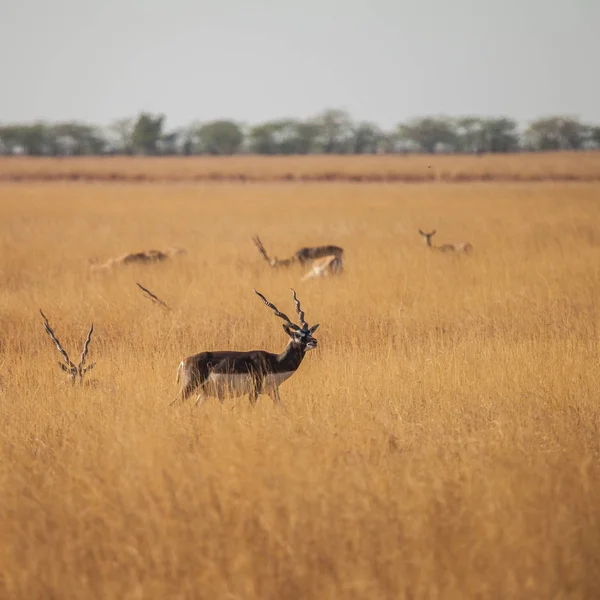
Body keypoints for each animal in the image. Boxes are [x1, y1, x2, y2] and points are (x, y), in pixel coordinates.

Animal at [172, 288, 318, 410]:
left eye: (309, 332)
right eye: (298, 335)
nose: (314, 341)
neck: (274, 361)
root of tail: (183, 362)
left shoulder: (273, 391)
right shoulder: (254, 391)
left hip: (203, 395)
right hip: (188, 388)